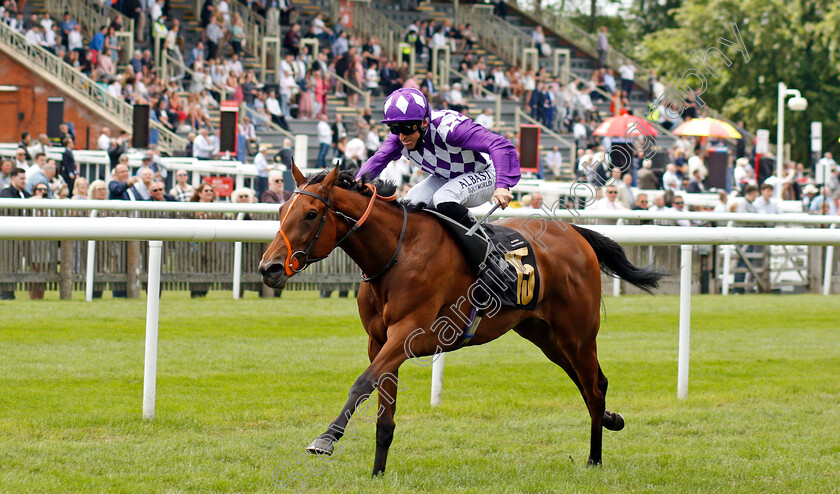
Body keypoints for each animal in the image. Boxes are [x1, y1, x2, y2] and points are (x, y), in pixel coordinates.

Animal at [260, 164, 668, 476]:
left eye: (311, 214)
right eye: (280, 212)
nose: (269, 268)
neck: (396, 253)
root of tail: (575, 233)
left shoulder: (408, 334)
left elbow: (362, 383)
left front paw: (326, 439)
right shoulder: (380, 342)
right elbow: (383, 413)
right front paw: (377, 473)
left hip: (577, 333)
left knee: (593, 387)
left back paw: (594, 458)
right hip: (544, 335)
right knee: (590, 383)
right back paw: (611, 419)